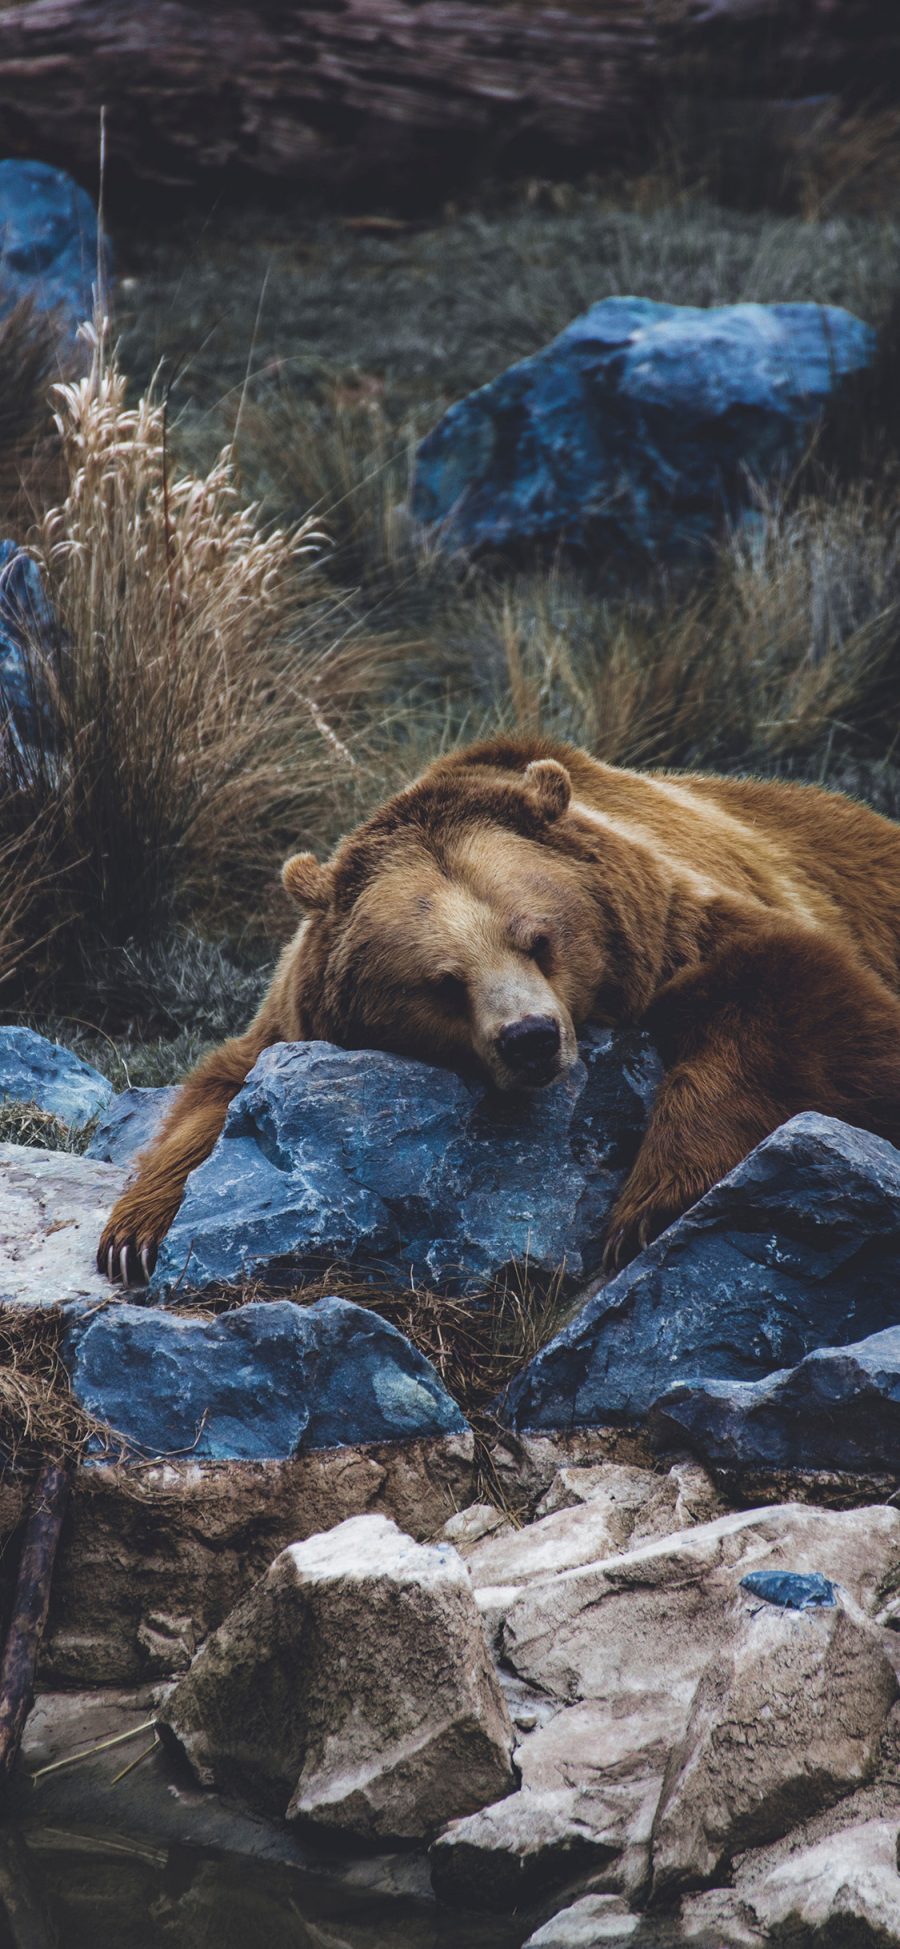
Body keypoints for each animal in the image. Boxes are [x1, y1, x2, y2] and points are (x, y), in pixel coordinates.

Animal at [96, 732, 900, 1278]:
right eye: (444, 981)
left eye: (539, 938)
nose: (532, 1038)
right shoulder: (295, 1014)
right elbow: (221, 1087)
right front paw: (135, 1235)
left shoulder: (680, 924)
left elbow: (796, 997)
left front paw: (648, 1207)